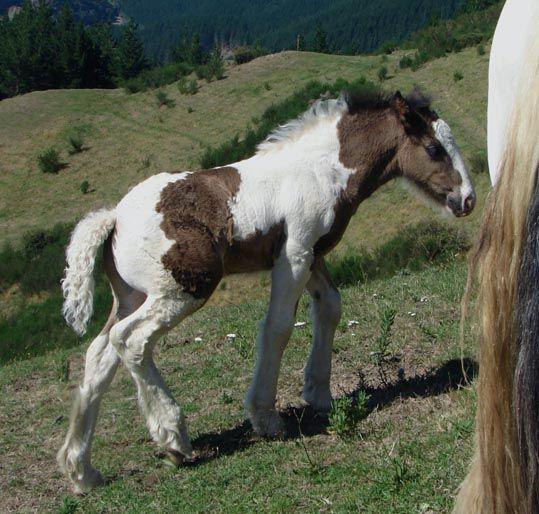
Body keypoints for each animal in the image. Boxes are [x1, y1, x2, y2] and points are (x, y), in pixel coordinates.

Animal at [57, 87, 474, 492]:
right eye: (434, 148)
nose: (467, 199)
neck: (320, 170)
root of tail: (114, 218)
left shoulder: (311, 254)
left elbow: (330, 307)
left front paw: (318, 394)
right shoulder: (294, 253)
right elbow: (278, 327)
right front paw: (266, 417)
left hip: (132, 296)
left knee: (100, 353)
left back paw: (82, 471)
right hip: (185, 287)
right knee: (131, 340)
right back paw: (173, 438)